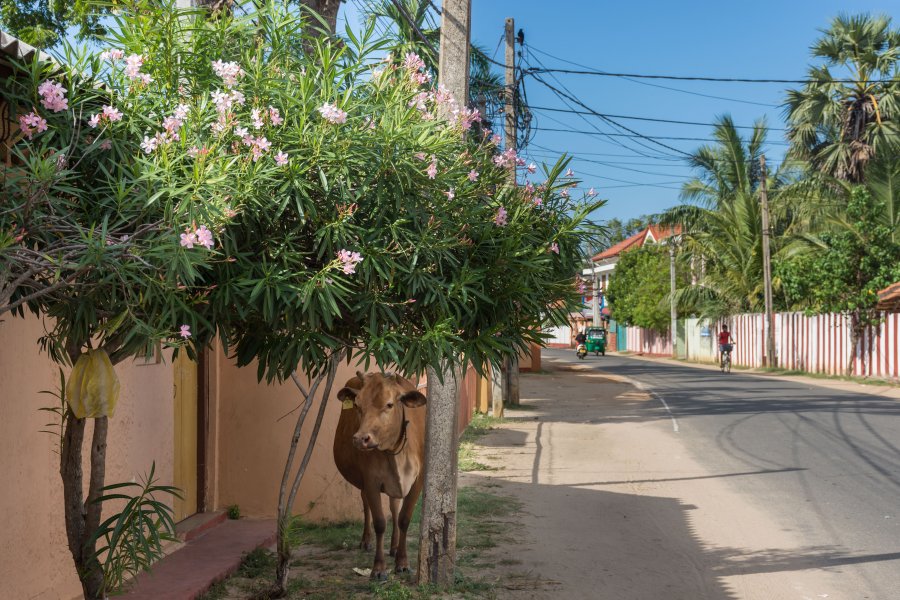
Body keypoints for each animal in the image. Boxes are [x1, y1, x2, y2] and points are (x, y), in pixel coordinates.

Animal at [332, 368, 428, 580]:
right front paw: (378, 568)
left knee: (394, 506)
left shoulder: (417, 482)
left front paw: (402, 562)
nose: (361, 439)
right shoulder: (371, 482)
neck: (395, 453)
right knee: (365, 503)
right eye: (357, 405)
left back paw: (394, 547)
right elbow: (380, 522)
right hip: (362, 482)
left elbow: (403, 518)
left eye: (389, 404)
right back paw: (366, 541)